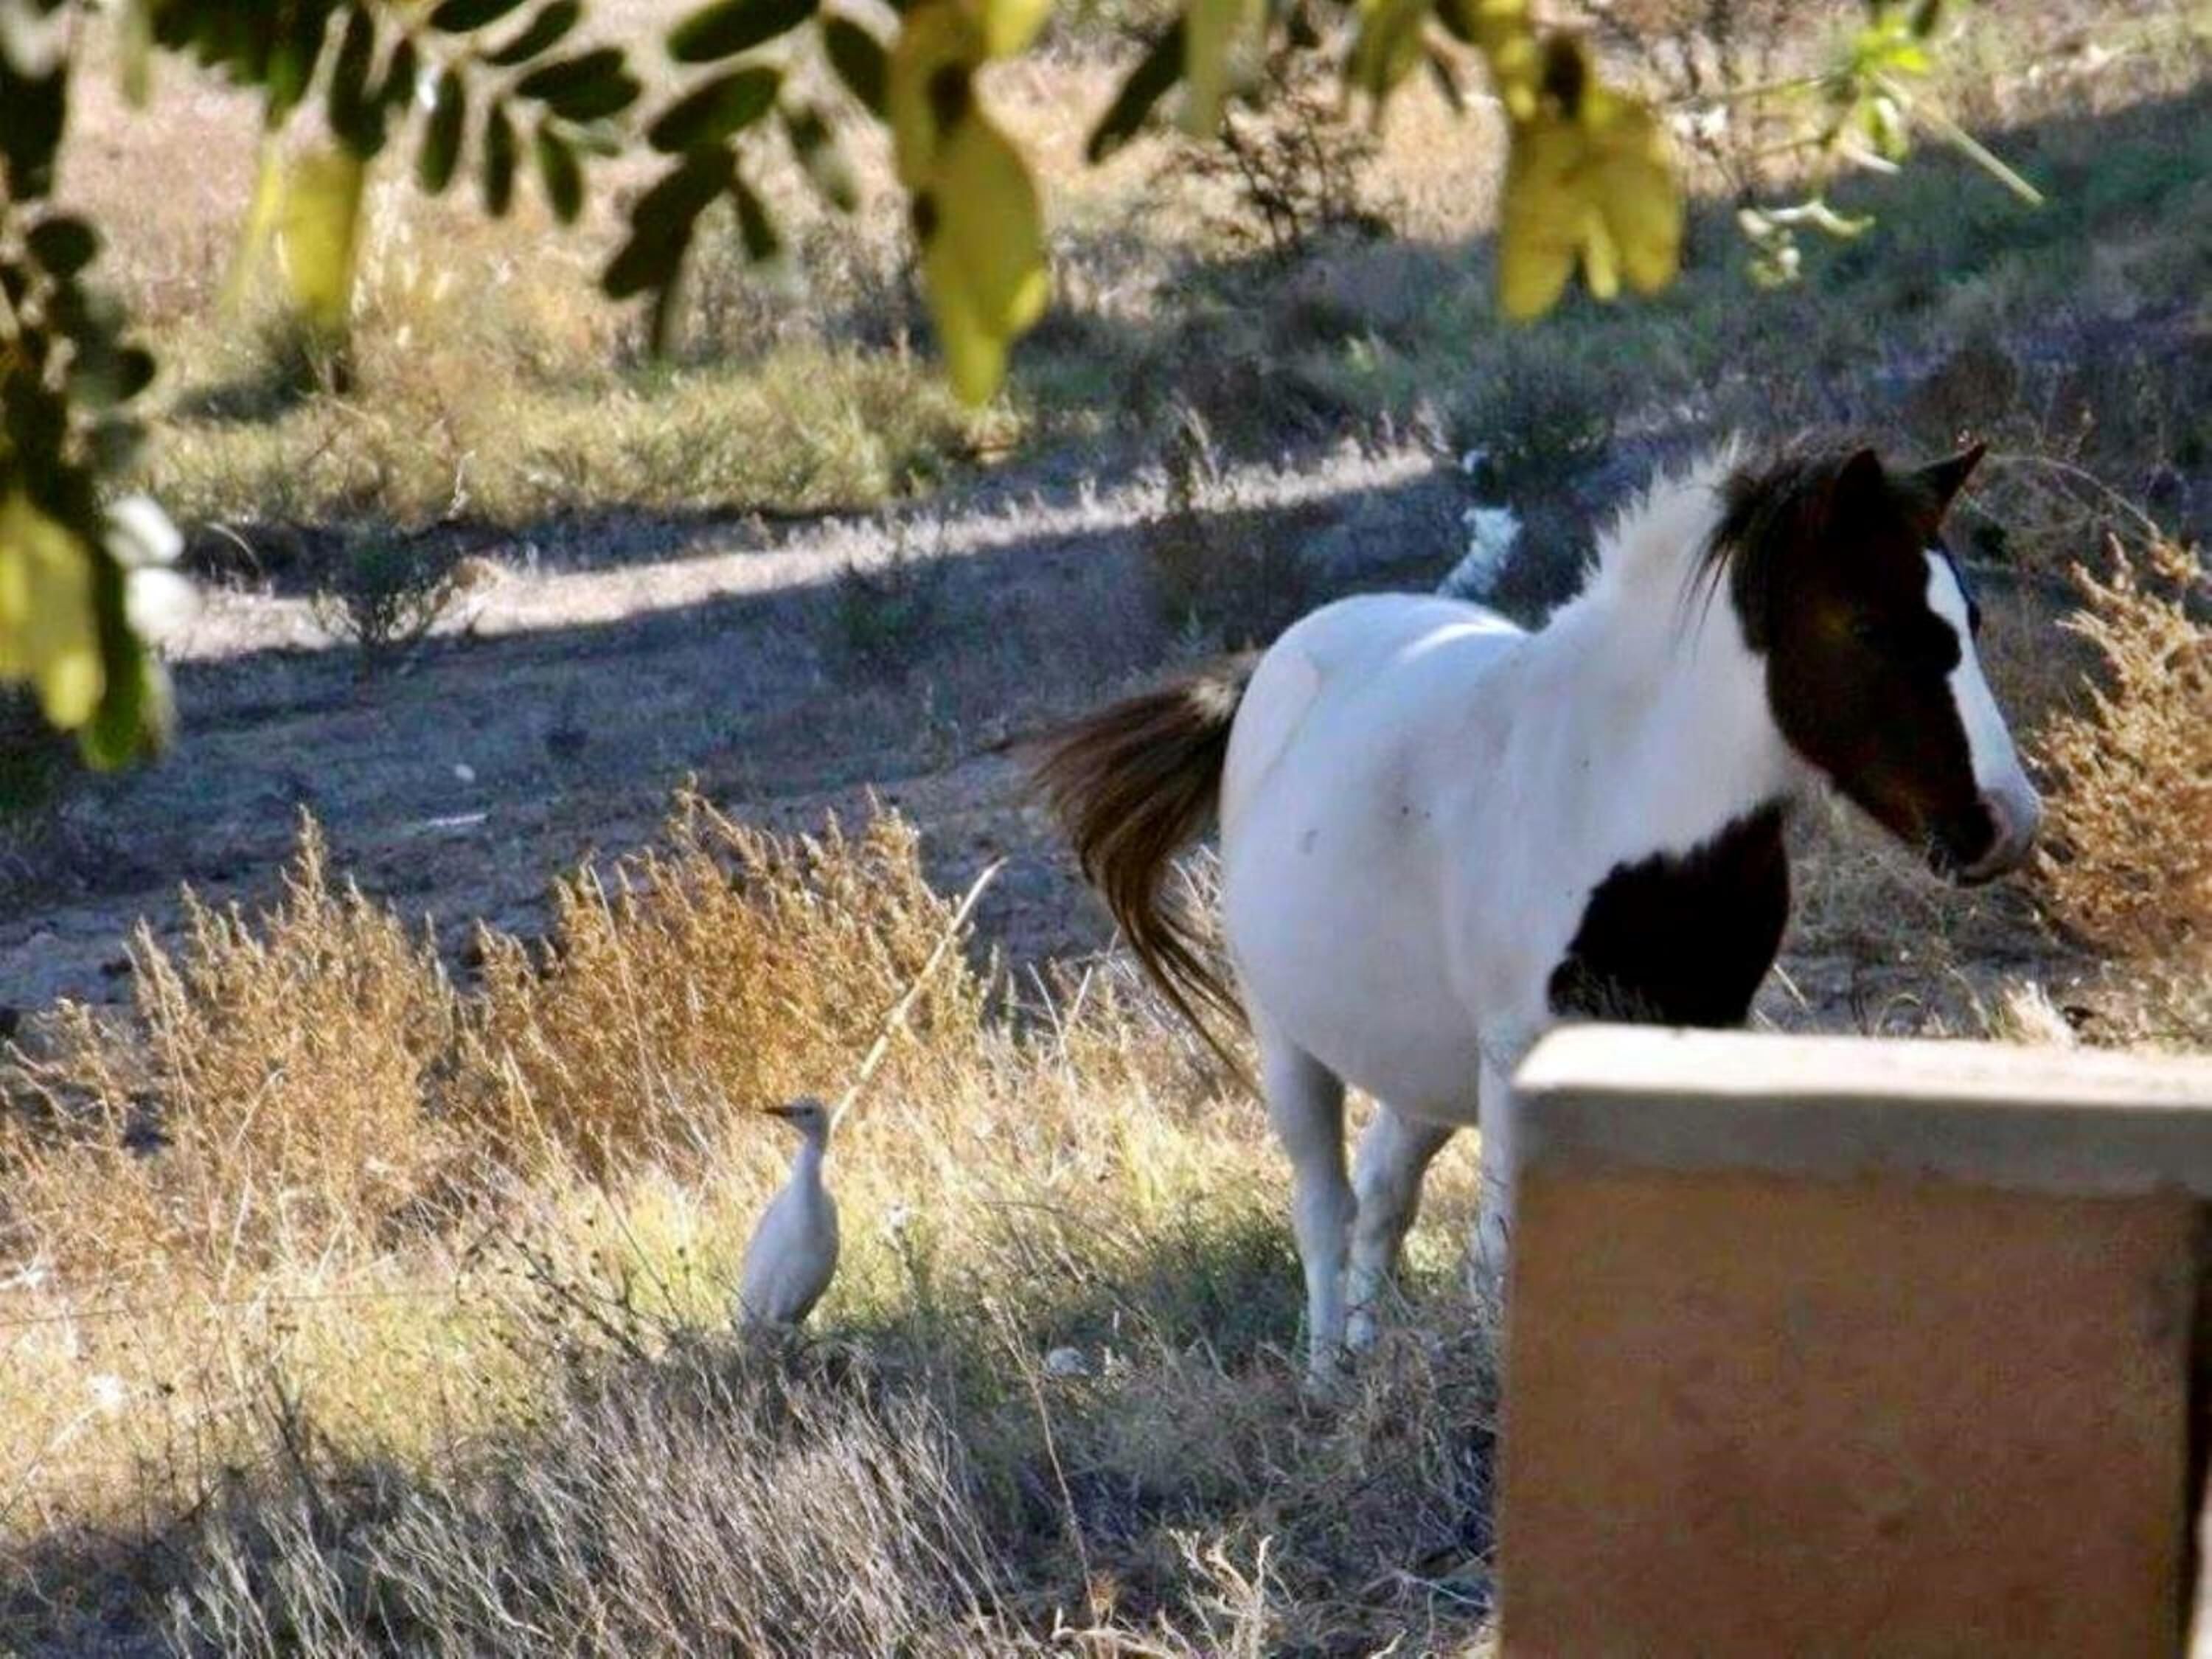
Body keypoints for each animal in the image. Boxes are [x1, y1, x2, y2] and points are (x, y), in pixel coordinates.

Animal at [1036, 442, 2042, 1382]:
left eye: (1972, 621)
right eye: (1869, 626)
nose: (2005, 824)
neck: (1617, 795)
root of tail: (1273, 667)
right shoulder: (1522, 1054)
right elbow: (1500, 1259)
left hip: (1424, 1062)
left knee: (1384, 1192)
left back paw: (1366, 1362)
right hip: (1292, 1044)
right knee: (1326, 1208)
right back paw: (1327, 1385)